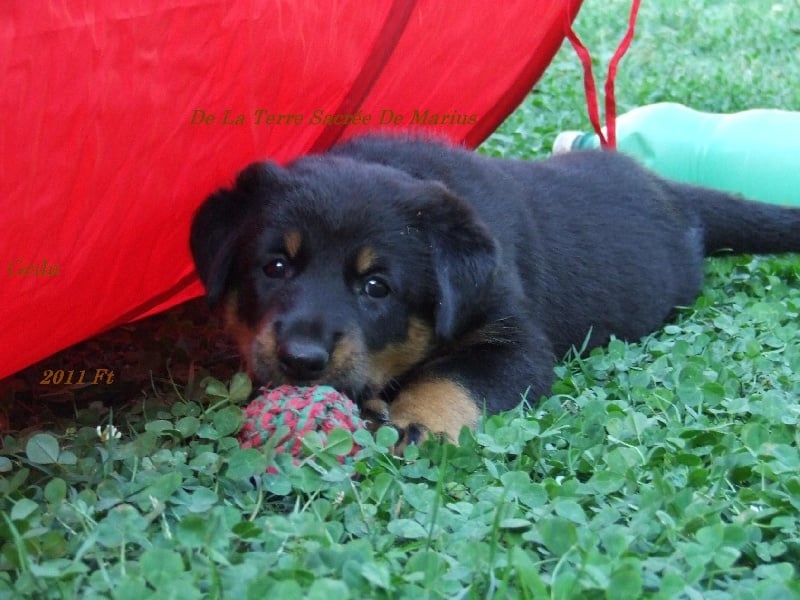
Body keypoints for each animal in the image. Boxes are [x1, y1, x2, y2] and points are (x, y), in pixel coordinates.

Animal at [192, 135, 800, 446]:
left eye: (376, 287)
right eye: (274, 266)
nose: (301, 359)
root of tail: (674, 193)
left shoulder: (514, 340)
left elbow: (454, 378)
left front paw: (417, 420)